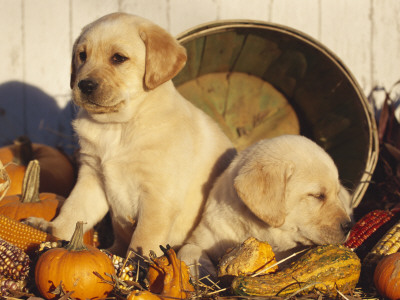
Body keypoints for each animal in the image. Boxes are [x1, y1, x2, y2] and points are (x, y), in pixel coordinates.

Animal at [27, 12, 234, 256]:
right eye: (82, 56)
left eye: (118, 58)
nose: (84, 85)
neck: (117, 126)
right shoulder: (92, 176)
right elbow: (74, 209)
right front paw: (53, 231)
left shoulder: (158, 195)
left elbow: (145, 237)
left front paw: (138, 262)